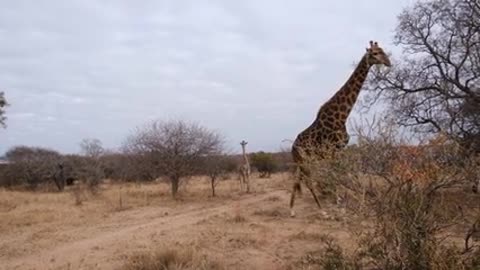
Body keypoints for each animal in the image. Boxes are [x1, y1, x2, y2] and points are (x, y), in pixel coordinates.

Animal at [288, 40, 390, 217]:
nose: (389, 62)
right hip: (306, 161)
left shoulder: (341, 149)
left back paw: (292, 210)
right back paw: (322, 211)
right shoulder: (332, 150)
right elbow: (335, 174)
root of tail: (292, 147)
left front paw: (345, 202)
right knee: (308, 181)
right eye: (375, 53)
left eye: (382, 50)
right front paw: (339, 206)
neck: (343, 116)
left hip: (301, 162)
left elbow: (344, 173)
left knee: (297, 180)